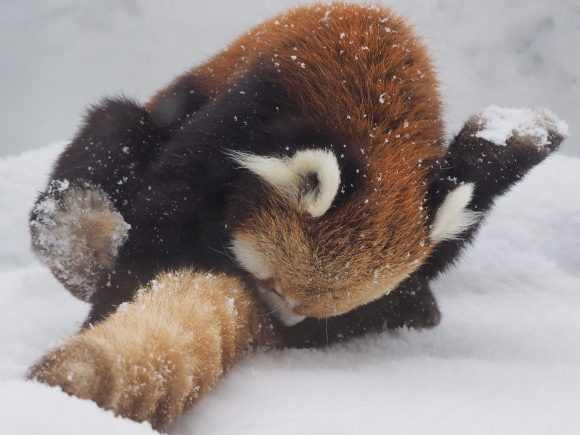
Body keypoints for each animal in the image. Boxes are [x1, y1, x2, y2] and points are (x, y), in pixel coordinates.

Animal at [27, 0, 568, 430]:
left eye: (314, 308)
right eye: (269, 279)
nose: (282, 320)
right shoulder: (258, 99)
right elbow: (164, 211)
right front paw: (112, 303)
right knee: (115, 126)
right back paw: (74, 226)